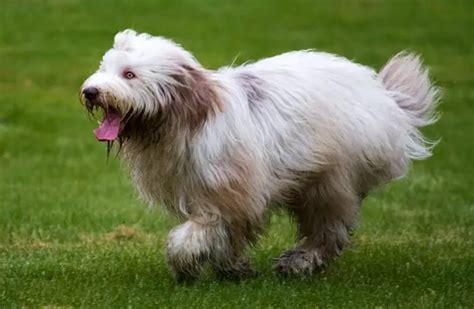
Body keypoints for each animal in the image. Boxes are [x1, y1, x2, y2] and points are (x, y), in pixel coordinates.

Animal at [79, 29, 438, 280]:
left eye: (129, 74)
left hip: (330, 177)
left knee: (328, 228)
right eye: (104, 68)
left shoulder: (231, 189)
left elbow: (205, 228)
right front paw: (232, 268)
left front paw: (186, 261)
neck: (185, 118)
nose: (91, 91)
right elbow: (226, 235)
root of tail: (385, 97)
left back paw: (299, 262)